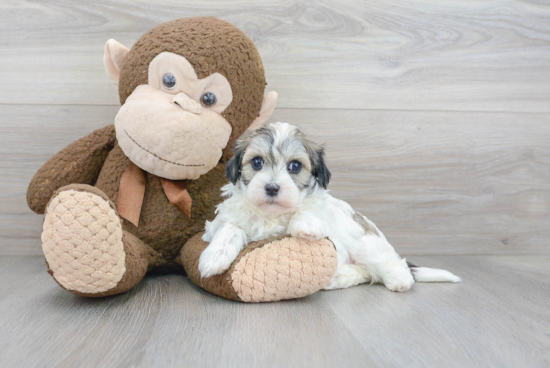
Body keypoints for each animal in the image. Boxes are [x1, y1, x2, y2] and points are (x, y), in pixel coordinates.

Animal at [198, 122, 462, 292]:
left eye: (295, 166)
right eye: (257, 162)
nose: (272, 188)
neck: (272, 214)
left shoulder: (323, 211)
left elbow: (311, 208)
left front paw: (305, 226)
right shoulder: (220, 223)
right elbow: (229, 228)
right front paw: (214, 257)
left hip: (366, 242)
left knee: (386, 265)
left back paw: (399, 280)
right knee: (366, 273)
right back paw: (338, 277)